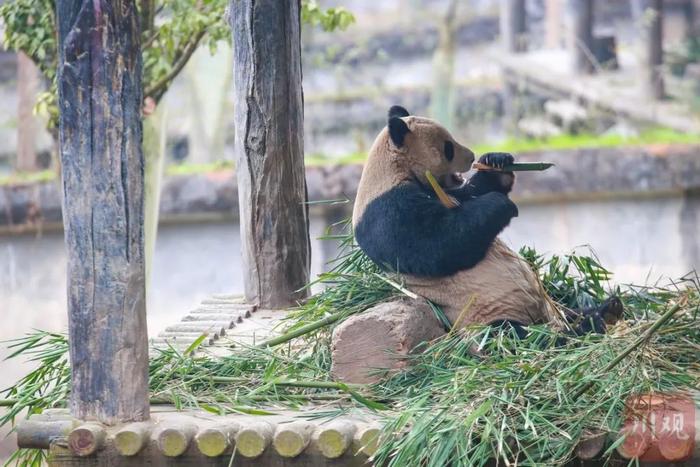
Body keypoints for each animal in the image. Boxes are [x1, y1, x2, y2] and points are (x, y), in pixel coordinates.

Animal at [352, 106, 620, 336]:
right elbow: (437, 245)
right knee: (514, 336)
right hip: (483, 315)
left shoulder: (447, 192)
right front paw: (501, 204)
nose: (472, 156)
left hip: (551, 305)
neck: (392, 169)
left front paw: (497, 161)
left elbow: (473, 192)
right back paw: (582, 328)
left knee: (571, 309)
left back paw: (606, 309)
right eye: (448, 147)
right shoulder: (386, 211)